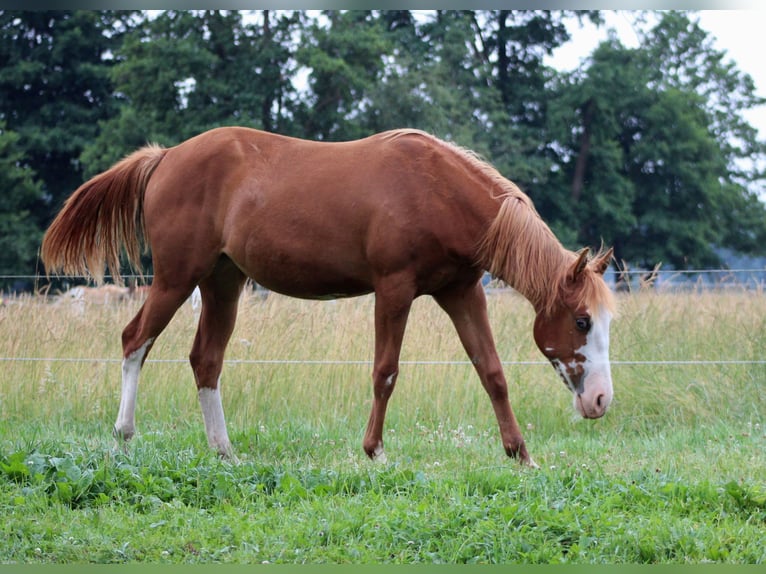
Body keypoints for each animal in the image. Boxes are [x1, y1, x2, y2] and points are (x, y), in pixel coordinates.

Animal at [41, 127, 615, 467]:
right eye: (582, 321)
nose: (600, 401)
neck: (436, 188)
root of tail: (164, 158)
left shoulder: (462, 291)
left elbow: (491, 372)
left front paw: (521, 455)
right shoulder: (394, 289)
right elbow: (386, 372)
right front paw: (375, 452)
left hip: (222, 283)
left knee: (205, 360)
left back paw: (225, 451)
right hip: (176, 279)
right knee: (135, 339)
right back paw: (125, 434)